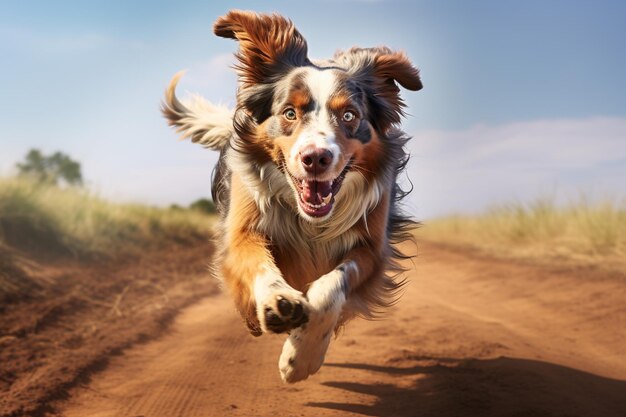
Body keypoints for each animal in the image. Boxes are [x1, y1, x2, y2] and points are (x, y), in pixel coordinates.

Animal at [163, 9, 422, 382]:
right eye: (289, 113)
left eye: (349, 115)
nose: (315, 158)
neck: (310, 220)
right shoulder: (243, 227)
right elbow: (258, 263)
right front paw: (279, 303)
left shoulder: (372, 248)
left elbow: (332, 287)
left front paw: (302, 357)